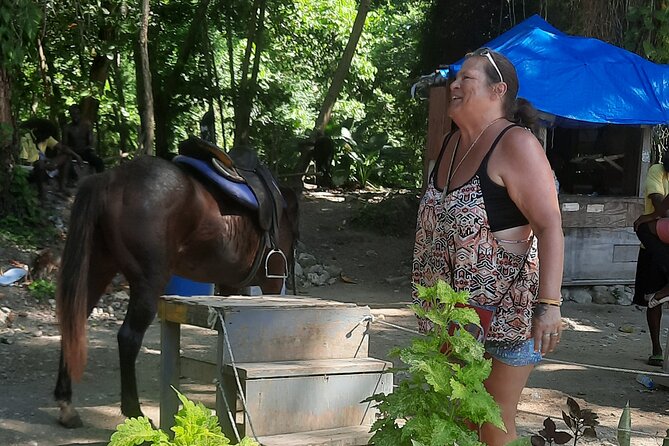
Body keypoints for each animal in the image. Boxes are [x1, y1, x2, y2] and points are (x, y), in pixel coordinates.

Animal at [53, 155, 298, 426]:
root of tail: (110, 178)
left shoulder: (231, 286)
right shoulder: (271, 283)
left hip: (98, 269)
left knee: (73, 325)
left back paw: (66, 405)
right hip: (148, 283)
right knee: (128, 338)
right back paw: (134, 411)